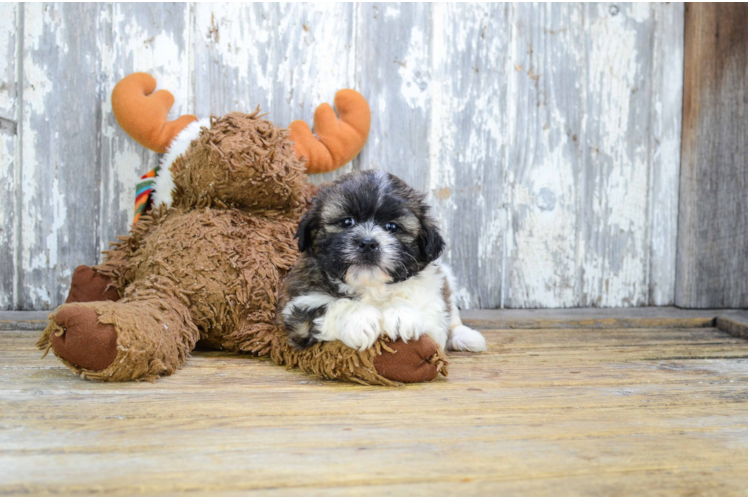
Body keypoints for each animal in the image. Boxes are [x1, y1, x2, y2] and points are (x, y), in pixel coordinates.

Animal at [280, 170, 486, 354]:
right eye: (347, 222)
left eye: (392, 227)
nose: (368, 243)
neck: (372, 286)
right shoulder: (298, 306)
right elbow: (327, 306)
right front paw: (359, 319)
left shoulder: (434, 311)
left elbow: (424, 312)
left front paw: (400, 314)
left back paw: (466, 337)